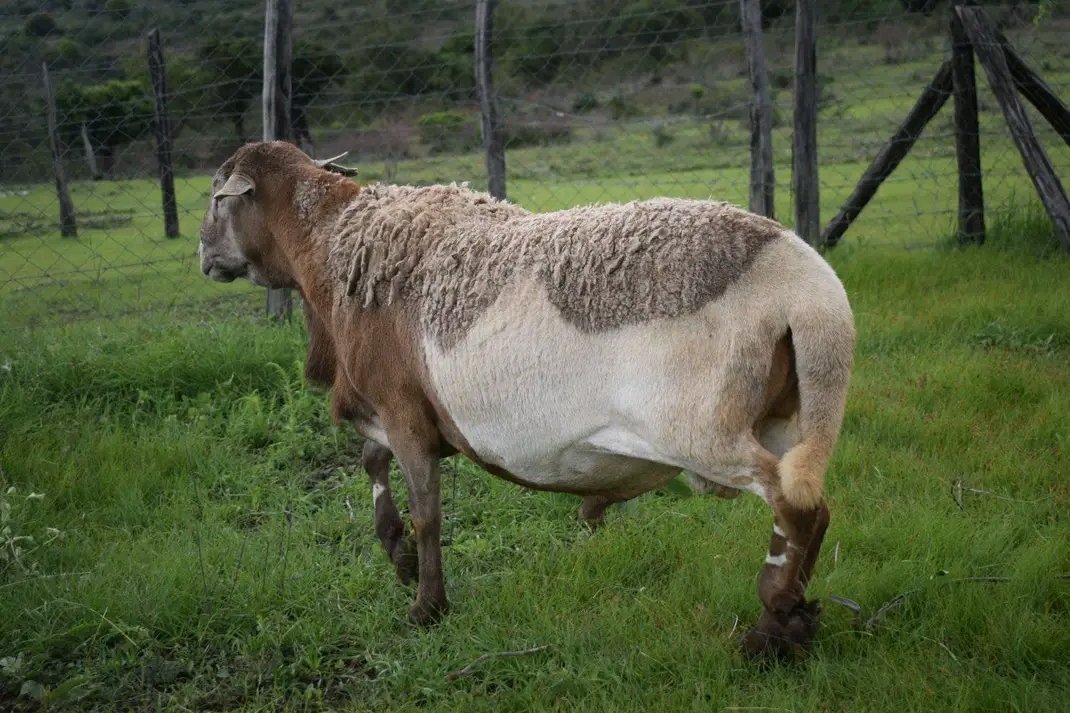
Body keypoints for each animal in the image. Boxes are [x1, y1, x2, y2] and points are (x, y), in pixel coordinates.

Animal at [198, 141, 855, 660]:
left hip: (702, 429)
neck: (332, 248)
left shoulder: (403, 411)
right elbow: (371, 462)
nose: (205, 258)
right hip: (785, 416)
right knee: (811, 508)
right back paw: (794, 620)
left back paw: (770, 631)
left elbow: (428, 513)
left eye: (217, 199)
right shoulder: (393, 410)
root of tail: (807, 293)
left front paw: (427, 606)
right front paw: (397, 554)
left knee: (795, 507)